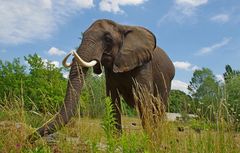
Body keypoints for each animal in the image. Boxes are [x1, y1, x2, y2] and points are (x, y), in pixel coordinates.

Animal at [27, 19, 174, 142]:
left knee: (159, 108)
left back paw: (158, 138)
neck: (122, 26)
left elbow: (143, 99)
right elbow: (113, 100)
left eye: (108, 39)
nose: (27, 139)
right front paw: (116, 141)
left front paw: (149, 142)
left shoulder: (144, 64)